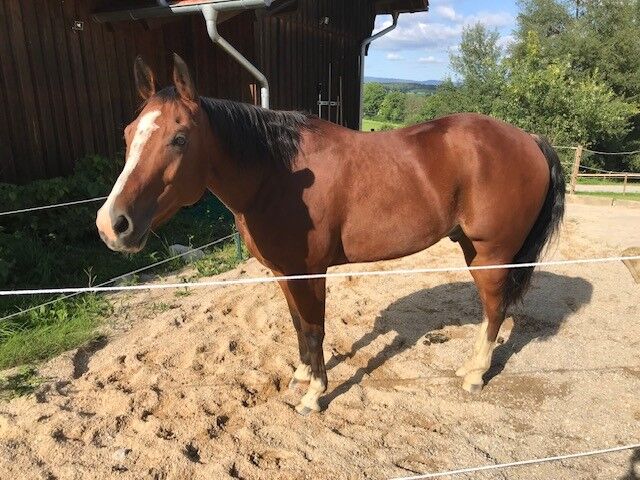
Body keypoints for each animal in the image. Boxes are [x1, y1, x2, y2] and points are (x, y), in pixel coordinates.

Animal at [96, 55, 564, 416]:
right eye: (127, 134)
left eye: (179, 138)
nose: (112, 224)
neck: (277, 175)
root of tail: (528, 139)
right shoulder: (285, 273)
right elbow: (297, 325)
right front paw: (302, 375)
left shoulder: (311, 273)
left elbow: (315, 328)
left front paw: (314, 395)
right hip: (473, 248)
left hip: (492, 254)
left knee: (495, 309)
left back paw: (474, 375)